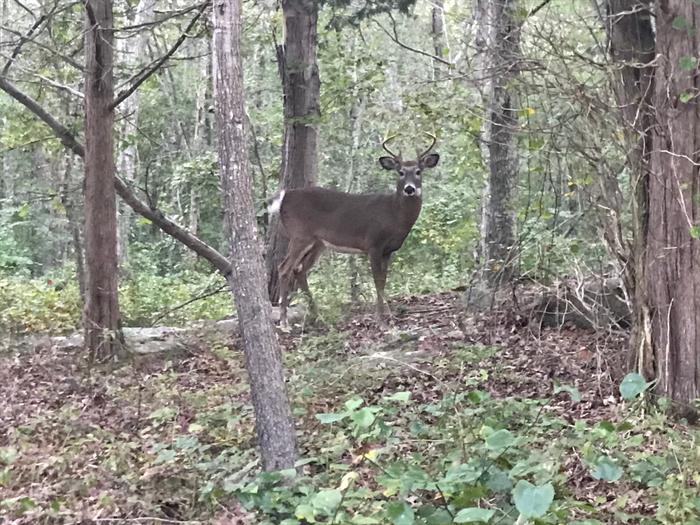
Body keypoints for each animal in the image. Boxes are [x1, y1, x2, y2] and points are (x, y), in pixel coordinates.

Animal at [266, 132, 438, 328]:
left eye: (418, 171)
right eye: (400, 172)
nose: (409, 189)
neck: (393, 215)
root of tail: (283, 198)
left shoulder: (388, 250)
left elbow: (383, 281)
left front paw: (389, 315)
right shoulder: (373, 243)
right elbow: (377, 281)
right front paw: (381, 320)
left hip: (318, 243)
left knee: (299, 270)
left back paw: (318, 316)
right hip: (300, 234)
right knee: (284, 268)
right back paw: (285, 322)